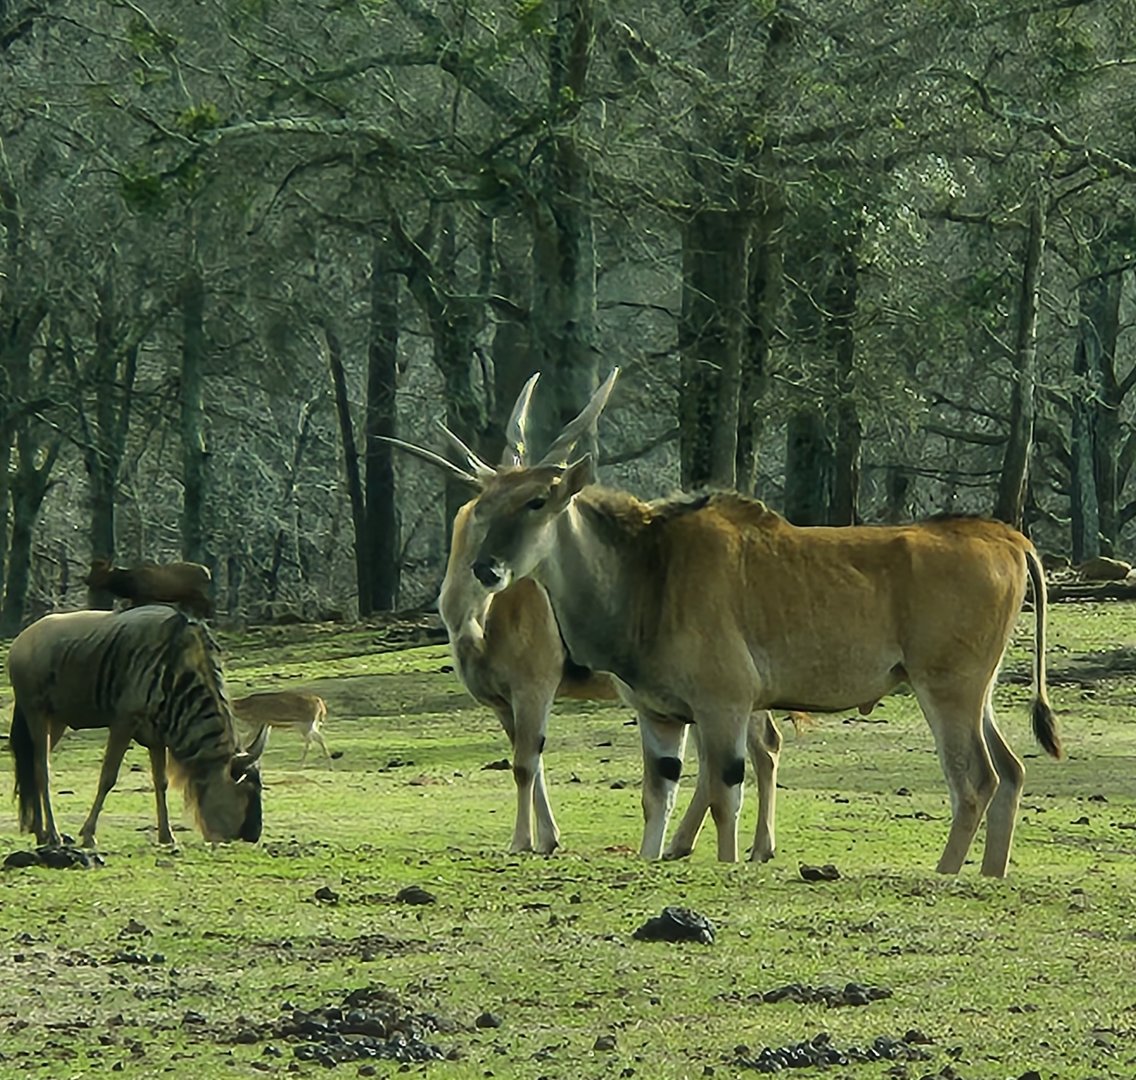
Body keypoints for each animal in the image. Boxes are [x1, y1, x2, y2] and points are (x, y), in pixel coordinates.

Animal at [7, 606, 266, 847]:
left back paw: (40, 832)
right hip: (36, 713)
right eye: (246, 790)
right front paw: (89, 834)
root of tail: (20, 640)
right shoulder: (123, 722)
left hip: (57, 721)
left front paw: (167, 836)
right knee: (42, 769)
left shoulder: (158, 735)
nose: (253, 835)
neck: (177, 668)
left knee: (32, 766)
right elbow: (108, 777)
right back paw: (53, 834)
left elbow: (161, 782)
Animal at [420, 368, 1062, 876]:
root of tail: (1008, 539)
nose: (485, 568)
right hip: (977, 692)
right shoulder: (659, 714)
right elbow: (659, 792)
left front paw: (728, 864)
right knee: (1010, 772)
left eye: (536, 501)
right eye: (485, 504)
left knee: (973, 781)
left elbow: (725, 791)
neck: (648, 571)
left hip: (946, 690)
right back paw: (991, 874)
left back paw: (946, 873)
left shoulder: (724, 702)